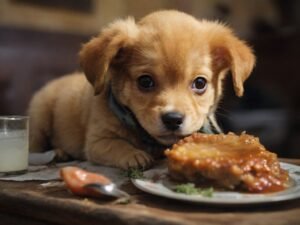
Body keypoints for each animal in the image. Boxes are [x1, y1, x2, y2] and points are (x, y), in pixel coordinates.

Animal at [29, 10, 255, 169]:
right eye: (145, 81)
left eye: (200, 83)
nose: (173, 119)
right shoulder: (97, 142)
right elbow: (117, 145)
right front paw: (133, 155)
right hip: (39, 119)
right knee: (33, 148)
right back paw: (56, 153)